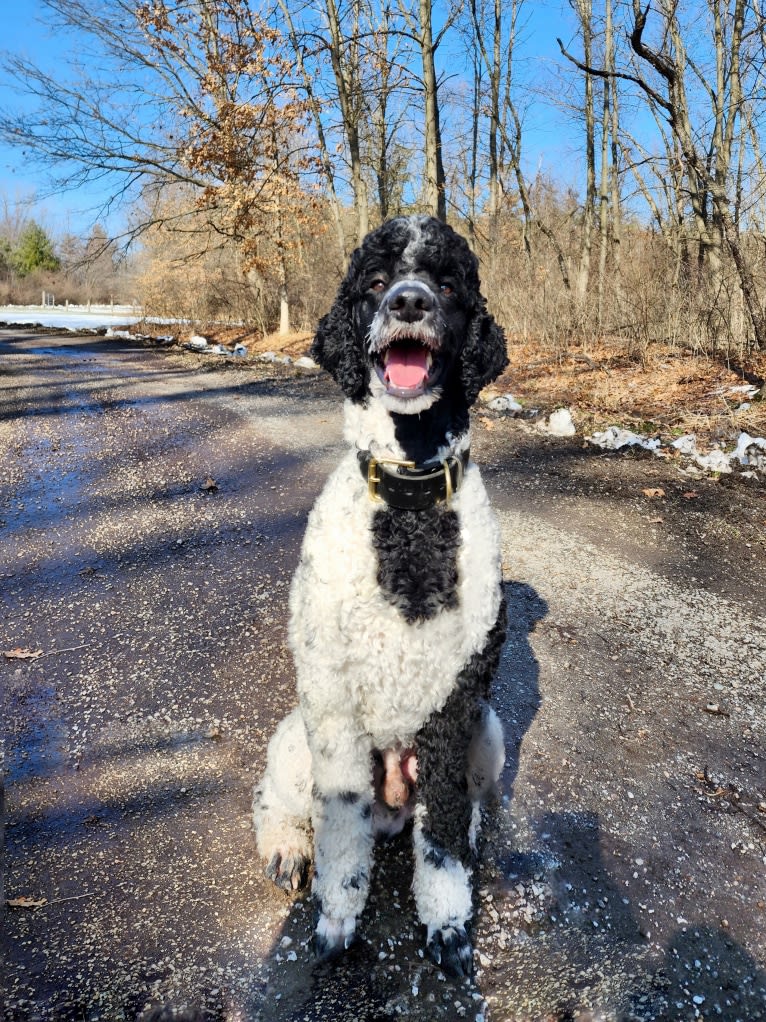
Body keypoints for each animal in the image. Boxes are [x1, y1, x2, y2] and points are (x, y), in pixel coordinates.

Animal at [255, 211, 512, 977]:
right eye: (374, 281)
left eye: (448, 282)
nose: (409, 302)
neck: (410, 505)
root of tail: (395, 804)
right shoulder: (331, 695)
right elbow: (340, 829)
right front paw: (338, 919)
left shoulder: (459, 698)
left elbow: (444, 837)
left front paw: (449, 924)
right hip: (296, 738)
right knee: (276, 801)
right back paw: (288, 846)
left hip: (489, 731)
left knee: (455, 809)